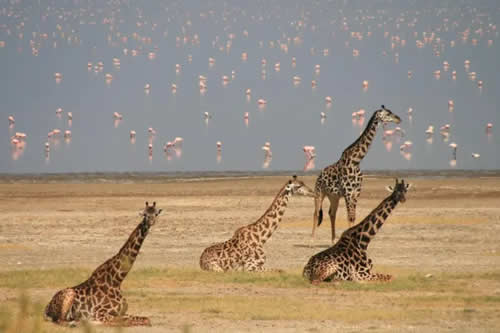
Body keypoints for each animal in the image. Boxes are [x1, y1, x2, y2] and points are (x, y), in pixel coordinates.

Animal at [312, 104, 402, 241]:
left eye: (391, 111)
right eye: (387, 114)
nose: (399, 119)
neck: (356, 161)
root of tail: (319, 175)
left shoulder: (356, 193)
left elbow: (353, 217)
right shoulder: (348, 193)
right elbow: (350, 217)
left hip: (334, 196)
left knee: (332, 213)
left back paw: (333, 240)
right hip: (319, 193)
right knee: (316, 213)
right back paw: (311, 239)